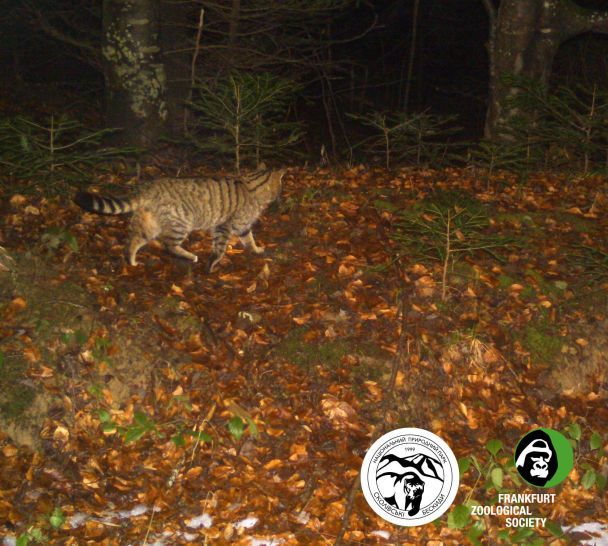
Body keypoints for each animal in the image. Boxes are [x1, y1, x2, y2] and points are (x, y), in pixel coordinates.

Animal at [75, 164, 284, 270]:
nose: (279, 196)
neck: (251, 185)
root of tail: (148, 187)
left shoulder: (242, 226)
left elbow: (249, 239)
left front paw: (255, 249)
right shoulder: (224, 225)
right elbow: (220, 247)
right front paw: (213, 262)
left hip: (148, 223)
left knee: (133, 241)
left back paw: (131, 259)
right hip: (180, 222)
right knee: (169, 245)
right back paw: (189, 255)